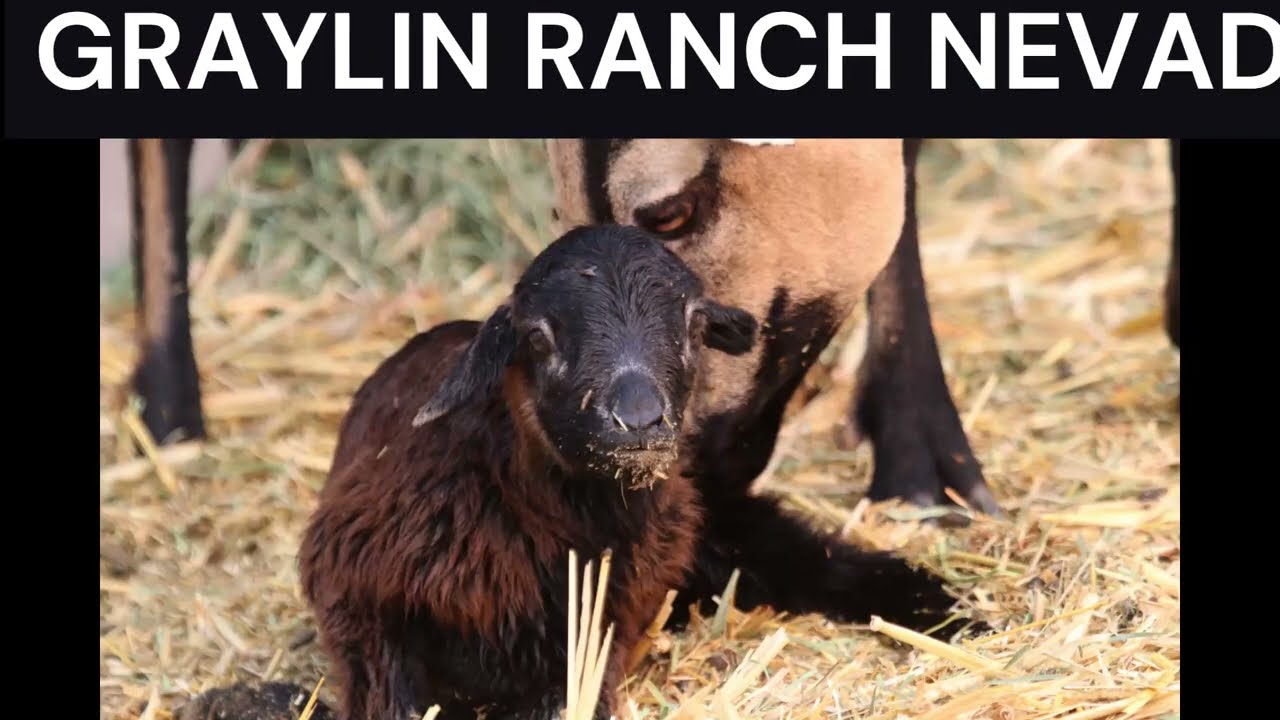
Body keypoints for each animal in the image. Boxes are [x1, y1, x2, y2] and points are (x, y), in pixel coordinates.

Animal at [296, 224, 970, 720]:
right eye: (537, 338)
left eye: (694, 325)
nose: (639, 420)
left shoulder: (598, 637)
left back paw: (947, 610)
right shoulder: (366, 619)